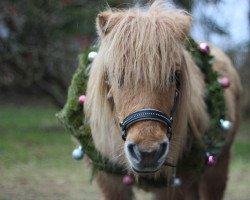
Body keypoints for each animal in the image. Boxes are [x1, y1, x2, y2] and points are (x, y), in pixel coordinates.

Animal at [84, 1, 242, 198]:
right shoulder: (111, 184)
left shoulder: (173, 189)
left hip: (216, 169)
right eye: (118, 76)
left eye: (173, 76)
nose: (148, 153)